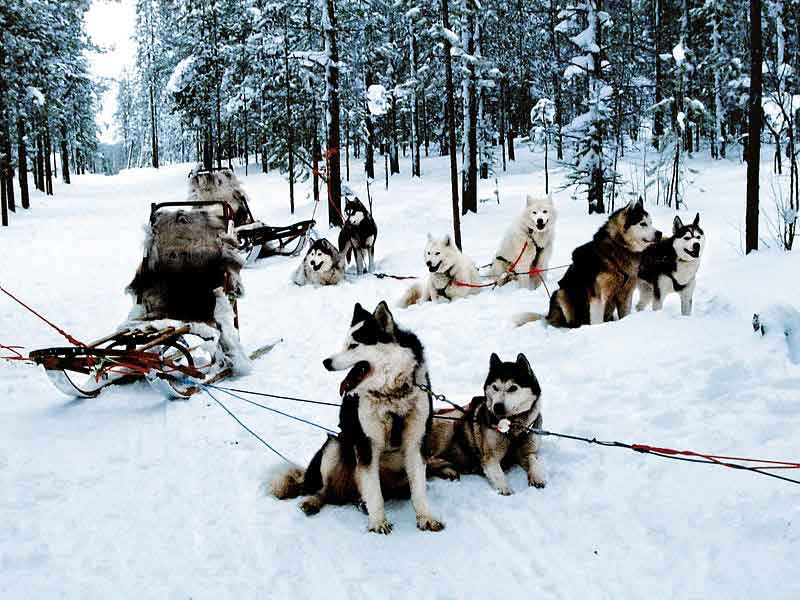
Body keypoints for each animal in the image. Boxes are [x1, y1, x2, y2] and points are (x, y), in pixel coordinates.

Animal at [268, 300, 444, 536]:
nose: (326, 361)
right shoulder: (365, 444)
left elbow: (419, 490)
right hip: (335, 445)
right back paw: (314, 501)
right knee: (327, 490)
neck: (392, 395)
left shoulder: (416, 443)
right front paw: (378, 522)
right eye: (343, 345)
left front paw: (425, 517)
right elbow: (374, 493)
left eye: (353, 345)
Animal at [428, 354, 548, 494]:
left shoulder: (529, 451)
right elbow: (498, 474)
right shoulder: (491, 457)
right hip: (450, 424)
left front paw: (537, 477)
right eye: (495, 387)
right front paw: (505, 489)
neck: (512, 427)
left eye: (513, 388)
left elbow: (534, 461)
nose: (497, 406)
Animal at [516, 197, 660, 328]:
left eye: (651, 222)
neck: (618, 247)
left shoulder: (626, 295)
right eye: (643, 223)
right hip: (561, 294)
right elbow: (597, 320)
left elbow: (625, 314)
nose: (659, 233)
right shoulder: (598, 297)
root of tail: (548, 316)